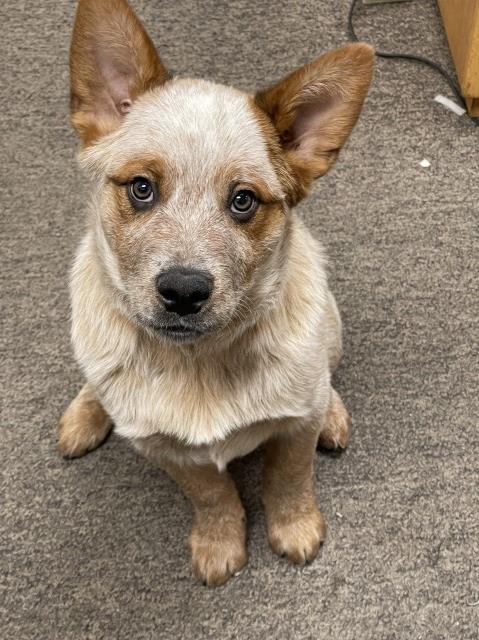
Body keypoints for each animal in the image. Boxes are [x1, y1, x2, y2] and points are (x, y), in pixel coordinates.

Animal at [59, 0, 376, 592]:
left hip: (332, 324)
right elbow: (211, 496)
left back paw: (334, 413)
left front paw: (295, 528)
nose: (184, 289)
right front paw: (219, 542)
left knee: (326, 373)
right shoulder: (167, 449)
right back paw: (86, 412)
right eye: (142, 188)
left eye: (243, 200)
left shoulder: (294, 427)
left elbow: (290, 478)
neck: (198, 361)